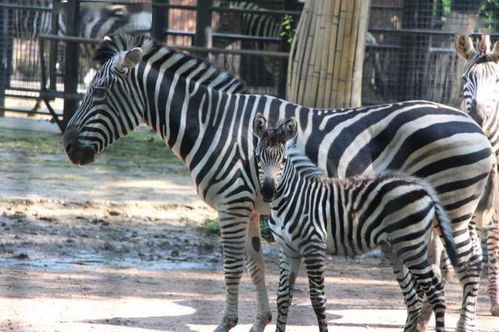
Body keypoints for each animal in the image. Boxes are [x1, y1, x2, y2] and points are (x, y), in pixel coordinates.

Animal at [256, 114, 462, 332]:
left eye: (284, 160)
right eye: (258, 157)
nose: (268, 191)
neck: (290, 199)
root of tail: (423, 188)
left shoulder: (313, 246)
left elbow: (318, 299)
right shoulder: (287, 250)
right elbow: (282, 298)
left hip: (412, 247)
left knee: (435, 292)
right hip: (394, 248)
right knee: (412, 297)